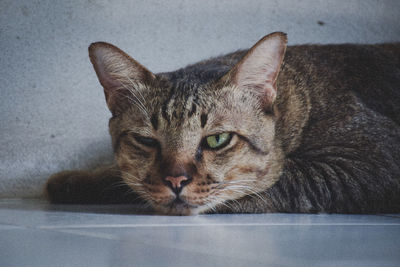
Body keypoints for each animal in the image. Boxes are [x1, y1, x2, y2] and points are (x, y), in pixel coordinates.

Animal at [46, 31, 400, 216]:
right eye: (147, 141)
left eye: (217, 140)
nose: (175, 180)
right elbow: (123, 177)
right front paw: (78, 180)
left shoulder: (370, 162)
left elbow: (278, 178)